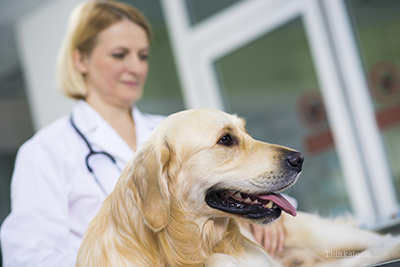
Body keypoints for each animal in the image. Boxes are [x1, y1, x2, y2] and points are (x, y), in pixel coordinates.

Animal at [76, 109, 400, 267]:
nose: (299, 159)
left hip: (323, 235)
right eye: (226, 139)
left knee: (379, 242)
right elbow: (217, 260)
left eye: (246, 131)